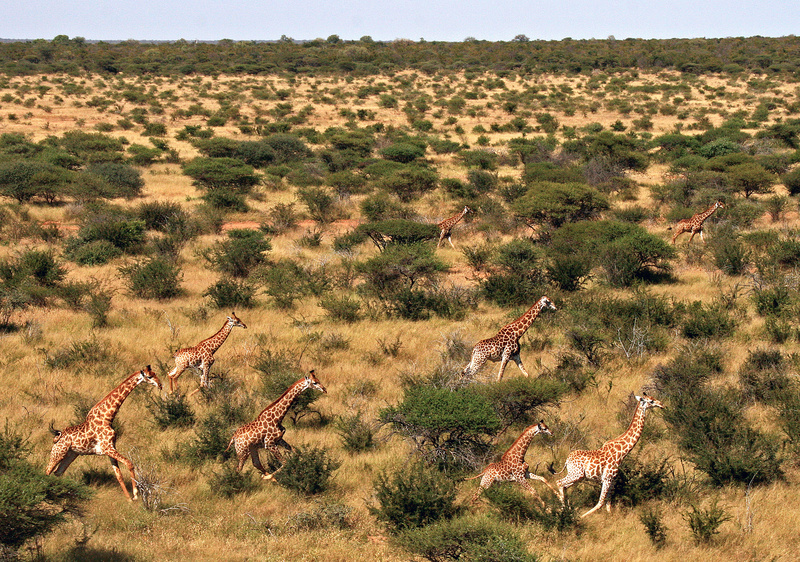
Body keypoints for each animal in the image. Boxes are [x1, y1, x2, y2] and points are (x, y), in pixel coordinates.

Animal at [46, 366, 162, 500]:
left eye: (155, 373)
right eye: (149, 376)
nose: (160, 385)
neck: (107, 417)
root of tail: (57, 436)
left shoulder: (110, 448)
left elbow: (119, 475)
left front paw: (128, 499)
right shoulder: (108, 448)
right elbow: (129, 463)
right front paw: (135, 495)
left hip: (71, 454)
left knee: (58, 472)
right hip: (58, 452)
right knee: (47, 470)